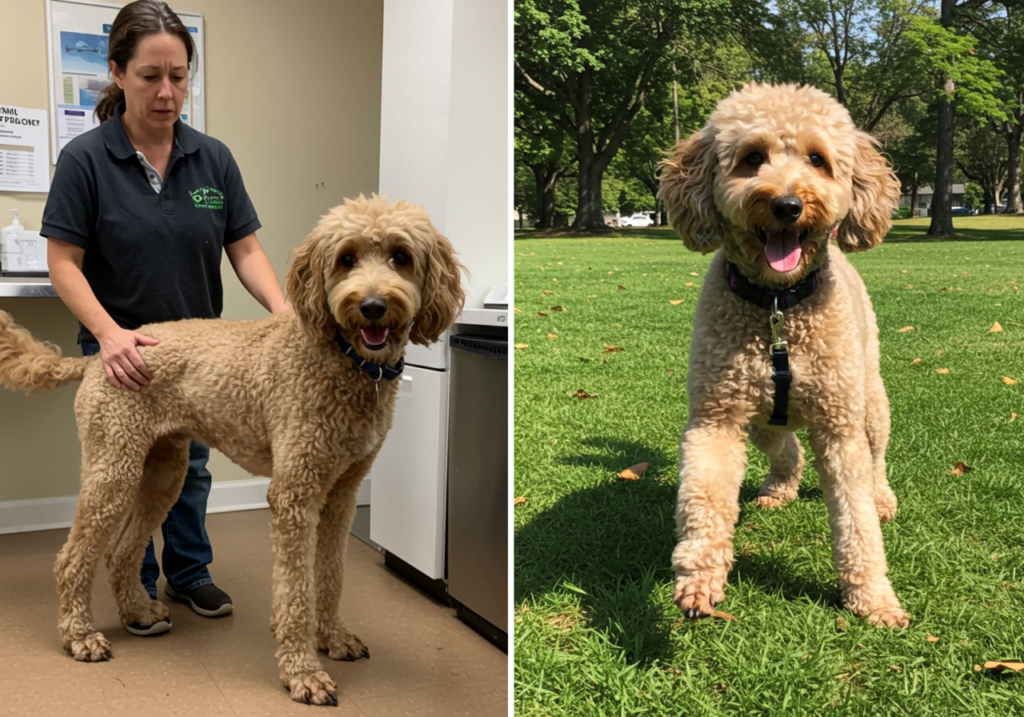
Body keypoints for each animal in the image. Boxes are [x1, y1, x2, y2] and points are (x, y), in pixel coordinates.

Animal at [0, 195, 464, 704]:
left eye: (401, 256)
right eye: (346, 259)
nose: (373, 306)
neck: (342, 357)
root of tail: (101, 355)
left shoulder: (342, 493)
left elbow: (331, 575)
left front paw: (333, 637)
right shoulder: (295, 494)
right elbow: (296, 590)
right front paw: (302, 671)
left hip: (163, 471)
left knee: (121, 551)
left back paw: (139, 611)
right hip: (114, 468)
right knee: (72, 558)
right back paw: (79, 635)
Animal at [659, 82, 909, 626]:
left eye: (817, 159)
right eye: (752, 158)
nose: (787, 205)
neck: (777, 307)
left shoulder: (840, 428)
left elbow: (856, 519)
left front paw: (874, 598)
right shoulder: (716, 419)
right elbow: (703, 501)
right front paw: (699, 579)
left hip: (870, 401)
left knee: (877, 457)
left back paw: (882, 495)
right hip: (758, 416)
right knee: (786, 447)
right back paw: (780, 486)